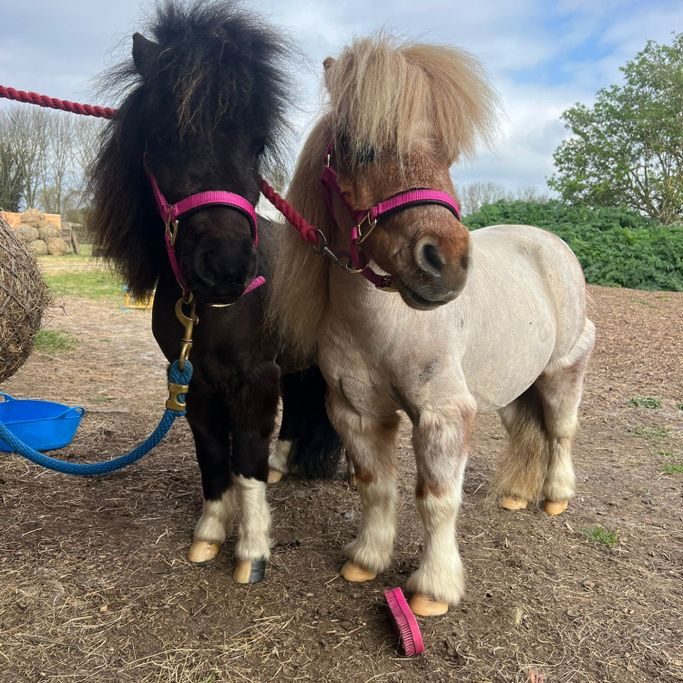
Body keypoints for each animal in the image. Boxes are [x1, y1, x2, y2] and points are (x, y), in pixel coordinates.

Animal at [87, 1, 341, 585]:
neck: (210, 311)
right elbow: (212, 457)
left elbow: (244, 459)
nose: (227, 269)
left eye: (257, 144)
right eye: (164, 137)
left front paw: (252, 551)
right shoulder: (194, 383)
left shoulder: (254, 378)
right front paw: (208, 534)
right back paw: (285, 464)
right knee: (298, 408)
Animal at [268, 35, 596, 616]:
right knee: (529, 428)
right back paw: (517, 495)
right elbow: (376, 486)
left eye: (447, 153)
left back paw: (556, 496)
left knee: (560, 429)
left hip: (563, 370)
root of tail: (550, 242)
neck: (386, 325)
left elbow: (438, 500)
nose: (446, 262)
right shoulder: (357, 412)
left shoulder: (442, 416)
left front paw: (433, 589)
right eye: (359, 147)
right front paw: (366, 559)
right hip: (512, 383)